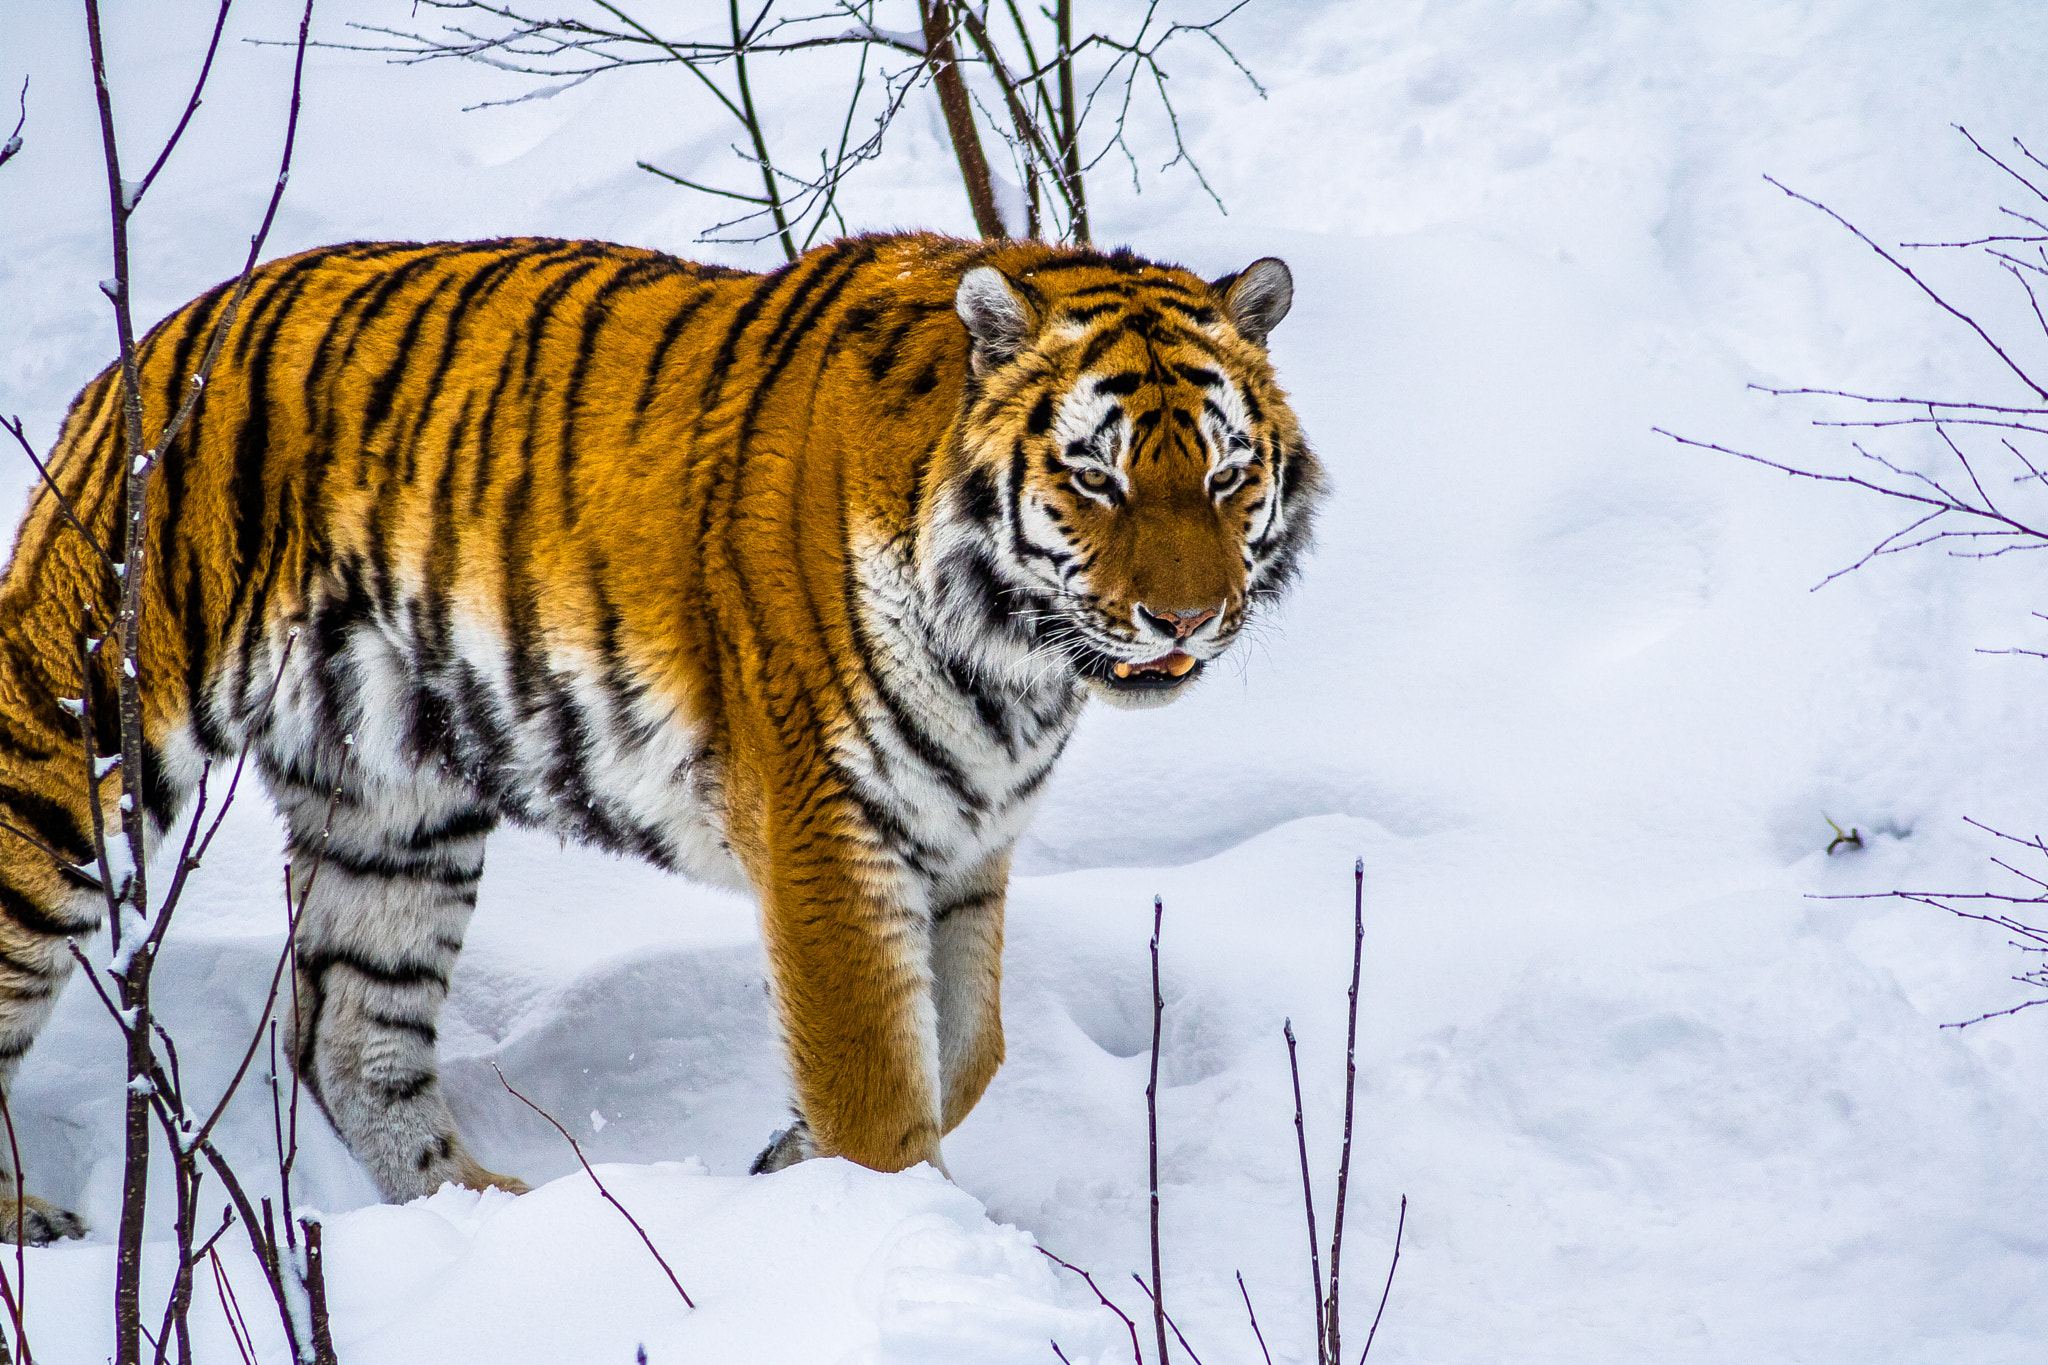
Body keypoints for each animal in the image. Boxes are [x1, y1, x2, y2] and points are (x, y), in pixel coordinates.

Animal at [0, 230, 1323, 1241]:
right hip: (83, 743)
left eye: (1222, 477)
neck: (1013, 657)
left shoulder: (962, 842)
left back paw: (499, 1222)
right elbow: (879, 1086)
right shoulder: (828, 832)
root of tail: (151, 342)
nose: (1184, 619)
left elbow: (966, 1048)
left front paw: (793, 1159)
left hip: (392, 804)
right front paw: (900, 1230)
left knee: (346, 1035)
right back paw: (35, 1221)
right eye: (1096, 480)